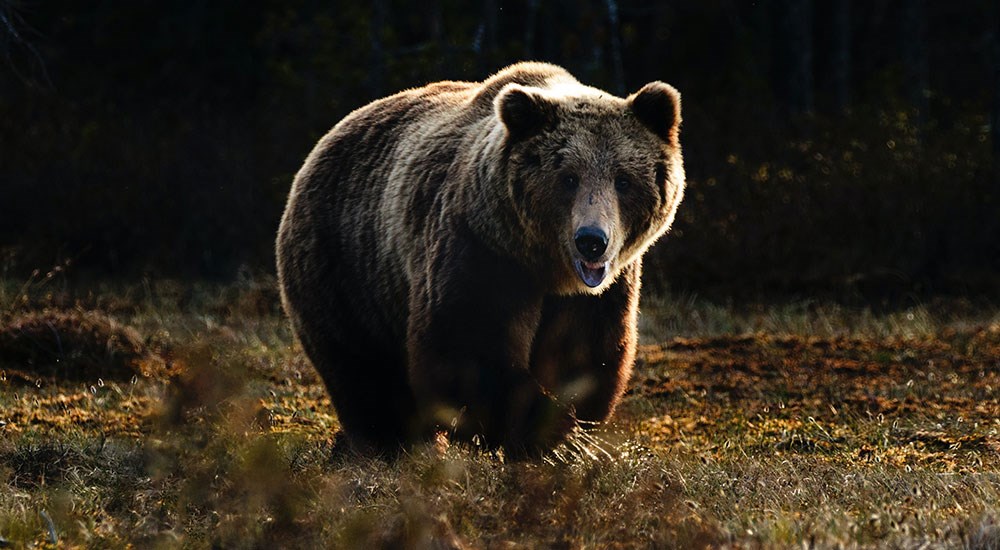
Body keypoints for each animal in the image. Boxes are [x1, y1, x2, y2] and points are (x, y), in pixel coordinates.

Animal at [278, 61, 684, 458]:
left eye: (623, 180)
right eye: (568, 178)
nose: (592, 241)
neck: (545, 266)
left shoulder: (601, 292)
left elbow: (584, 355)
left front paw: (565, 434)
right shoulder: (481, 250)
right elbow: (467, 347)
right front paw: (538, 431)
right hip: (346, 265)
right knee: (362, 369)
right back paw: (389, 443)